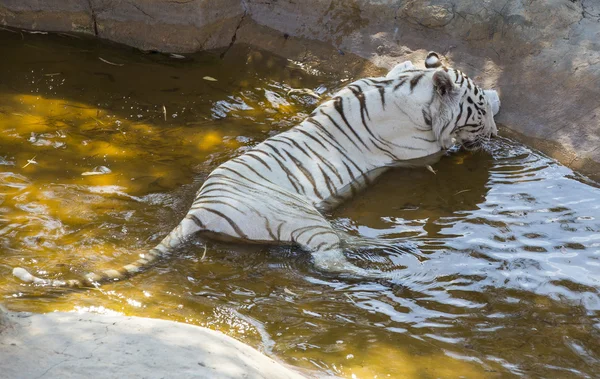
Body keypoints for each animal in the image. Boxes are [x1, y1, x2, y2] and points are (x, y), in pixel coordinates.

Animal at [14, 52, 502, 286]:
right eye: (477, 112)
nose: (496, 134)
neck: (406, 89)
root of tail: (197, 210)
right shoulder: (416, 150)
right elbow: (441, 149)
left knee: (336, 247)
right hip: (301, 215)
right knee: (328, 261)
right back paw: (391, 273)